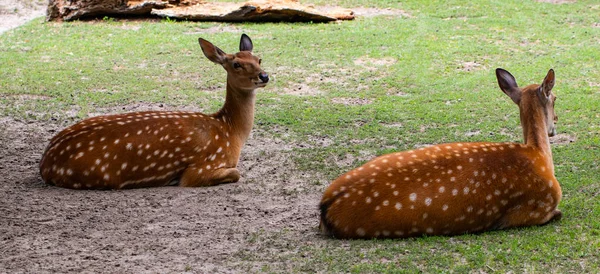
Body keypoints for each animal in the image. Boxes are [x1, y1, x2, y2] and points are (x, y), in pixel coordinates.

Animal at [39, 33, 270, 188]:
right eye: (236, 64)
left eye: (259, 59)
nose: (264, 76)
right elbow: (236, 173)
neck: (229, 131)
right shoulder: (200, 169)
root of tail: (45, 164)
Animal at [322, 69, 560, 239]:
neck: (538, 154)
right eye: (555, 98)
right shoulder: (538, 208)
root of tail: (326, 206)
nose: (555, 123)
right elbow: (558, 214)